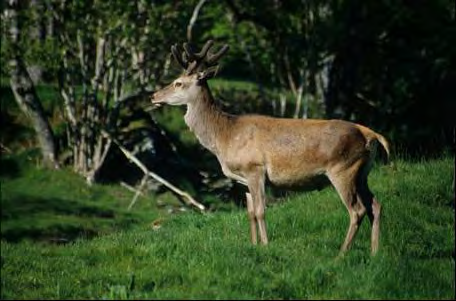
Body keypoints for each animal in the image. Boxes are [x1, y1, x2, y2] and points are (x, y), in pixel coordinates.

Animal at [151, 39, 390, 254]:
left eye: (178, 82)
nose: (153, 96)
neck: (224, 137)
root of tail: (371, 135)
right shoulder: (243, 179)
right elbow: (249, 213)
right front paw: (254, 245)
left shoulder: (254, 168)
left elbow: (260, 211)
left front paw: (266, 246)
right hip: (362, 172)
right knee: (375, 205)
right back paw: (375, 252)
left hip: (342, 169)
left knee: (357, 210)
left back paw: (342, 254)